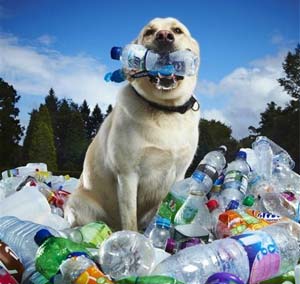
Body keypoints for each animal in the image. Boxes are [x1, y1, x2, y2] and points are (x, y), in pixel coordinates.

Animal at [66, 17, 202, 231]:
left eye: (177, 30)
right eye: (149, 32)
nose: (164, 36)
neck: (165, 109)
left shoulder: (179, 175)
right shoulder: (127, 174)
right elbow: (130, 218)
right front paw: (133, 237)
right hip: (78, 202)